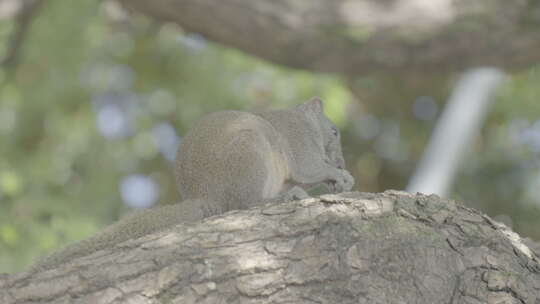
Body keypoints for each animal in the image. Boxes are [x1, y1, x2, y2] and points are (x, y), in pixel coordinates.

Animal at [32, 97, 354, 270]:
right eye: (335, 132)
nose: (341, 163)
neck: (304, 122)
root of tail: (207, 198)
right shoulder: (299, 144)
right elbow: (311, 169)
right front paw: (341, 176)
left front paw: (338, 181)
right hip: (251, 154)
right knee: (245, 203)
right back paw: (283, 198)